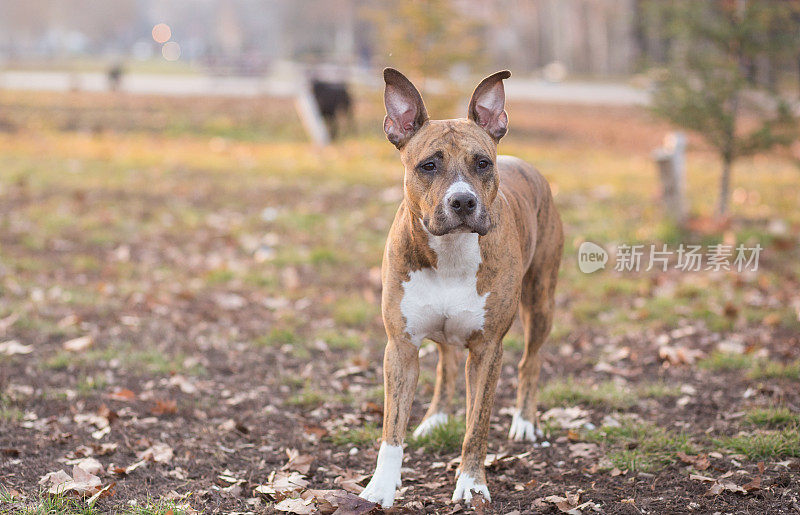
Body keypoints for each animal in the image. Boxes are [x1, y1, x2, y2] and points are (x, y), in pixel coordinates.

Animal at [362, 68, 564, 508]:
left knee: (531, 361)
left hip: (541, 300)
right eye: (428, 165)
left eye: (482, 163)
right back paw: (435, 417)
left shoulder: (488, 350)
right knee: (447, 364)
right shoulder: (400, 347)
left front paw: (471, 483)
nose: (463, 202)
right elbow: (391, 429)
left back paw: (525, 420)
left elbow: (477, 426)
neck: (450, 253)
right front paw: (381, 487)